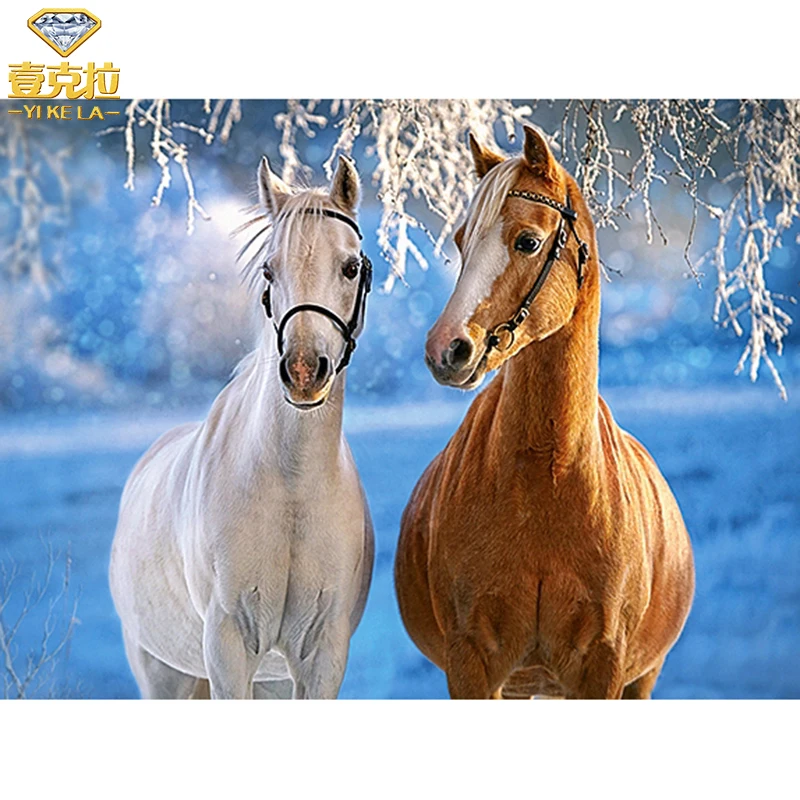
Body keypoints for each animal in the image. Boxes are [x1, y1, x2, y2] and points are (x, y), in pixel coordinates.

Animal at [110, 155, 375, 699]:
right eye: (270, 269)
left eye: (351, 266)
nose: (303, 371)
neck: (291, 488)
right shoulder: (228, 648)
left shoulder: (321, 655)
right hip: (163, 674)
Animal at [395, 126, 695, 699]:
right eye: (461, 241)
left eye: (528, 242)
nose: (446, 350)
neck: (545, 480)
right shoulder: (471, 665)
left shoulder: (603, 668)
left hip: (642, 679)